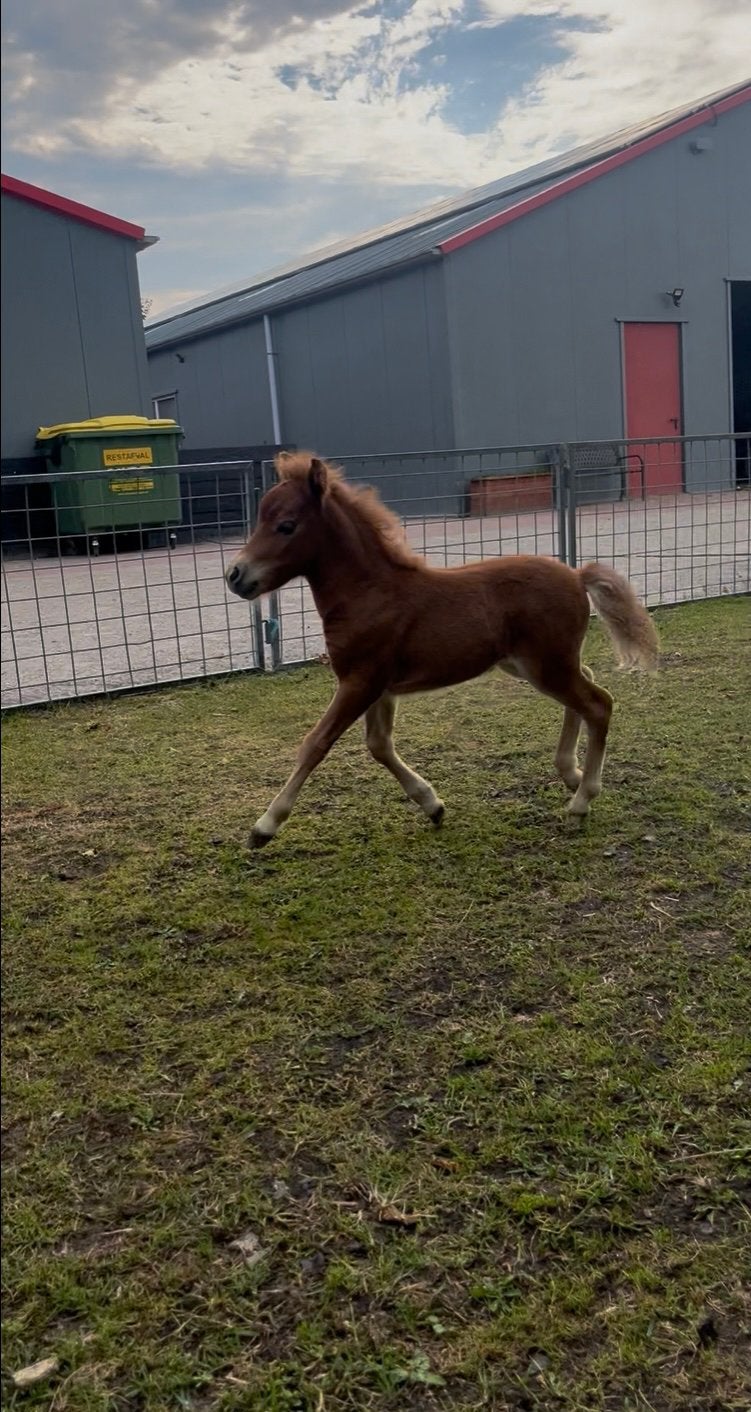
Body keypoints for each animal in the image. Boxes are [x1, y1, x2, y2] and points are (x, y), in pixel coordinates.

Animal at [225, 452, 659, 849]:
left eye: (286, 525)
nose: (235, 575)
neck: (368, 593)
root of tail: (576, 574)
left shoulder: (359, 681)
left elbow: (315, 743)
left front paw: (264, 826)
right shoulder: (379, 687)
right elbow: (379, 745)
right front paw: (432, 805)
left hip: (545, 665)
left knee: (598, 703)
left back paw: (581, 802)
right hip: (534, 664)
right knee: (586, 686)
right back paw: (571, 773)